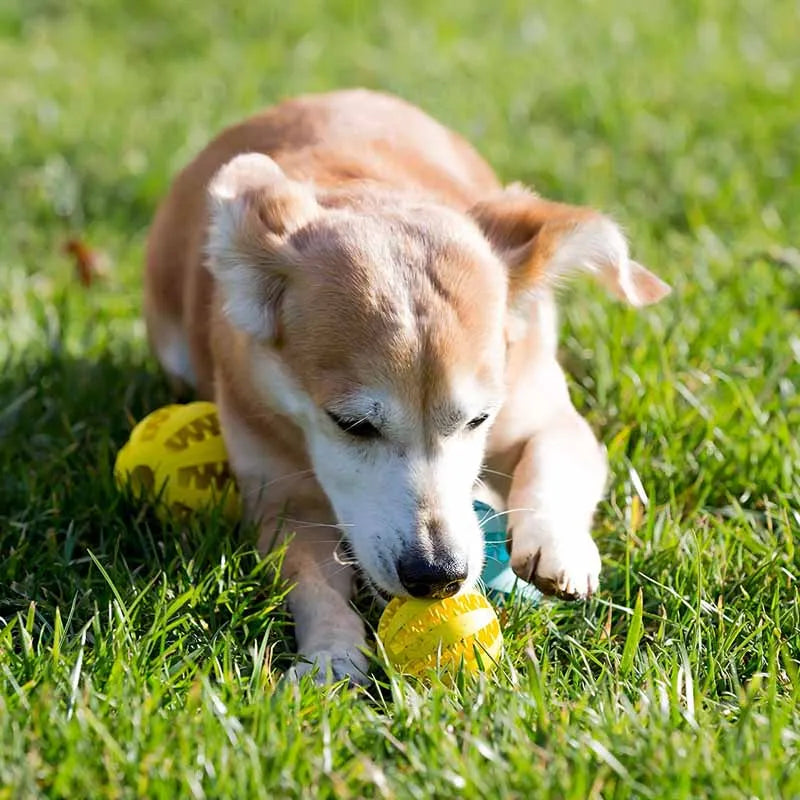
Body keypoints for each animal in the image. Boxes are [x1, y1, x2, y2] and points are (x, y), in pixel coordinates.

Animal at [144, 89, 668, 680]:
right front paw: (331, 652)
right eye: (351, 424)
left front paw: (557, 546)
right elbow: (310, 579)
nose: (438, 575)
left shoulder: (545, 412)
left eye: (479, 419)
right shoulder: (281, 500)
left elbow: (555, 453)